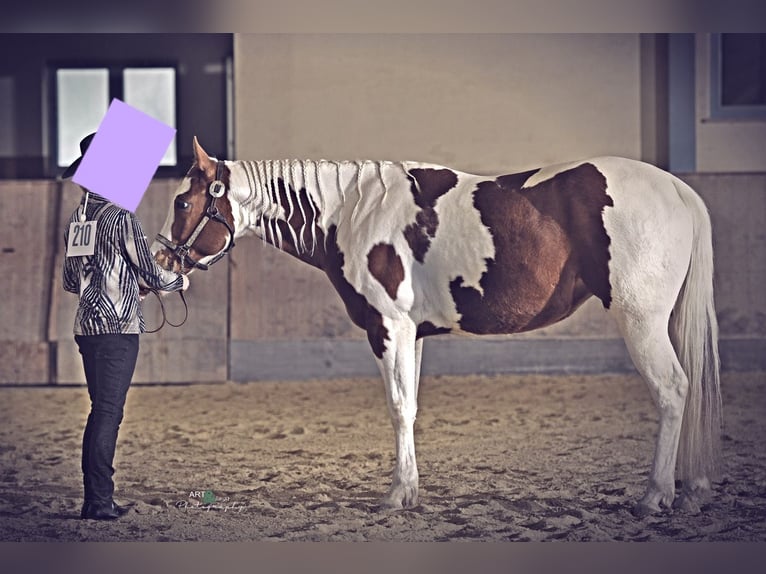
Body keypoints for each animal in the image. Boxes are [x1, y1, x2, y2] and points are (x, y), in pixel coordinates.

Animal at [153, 138, 724, 516]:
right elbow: (410, 407)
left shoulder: (387, 328)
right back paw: (691, 487)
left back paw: (655, 495)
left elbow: (397, 407)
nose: (160, 261)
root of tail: (677, 189)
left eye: (182, 202)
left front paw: (395, 494)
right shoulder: (412, 333)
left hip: (641, 319)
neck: (354, 213)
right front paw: (409, 490)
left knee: (673, 391)